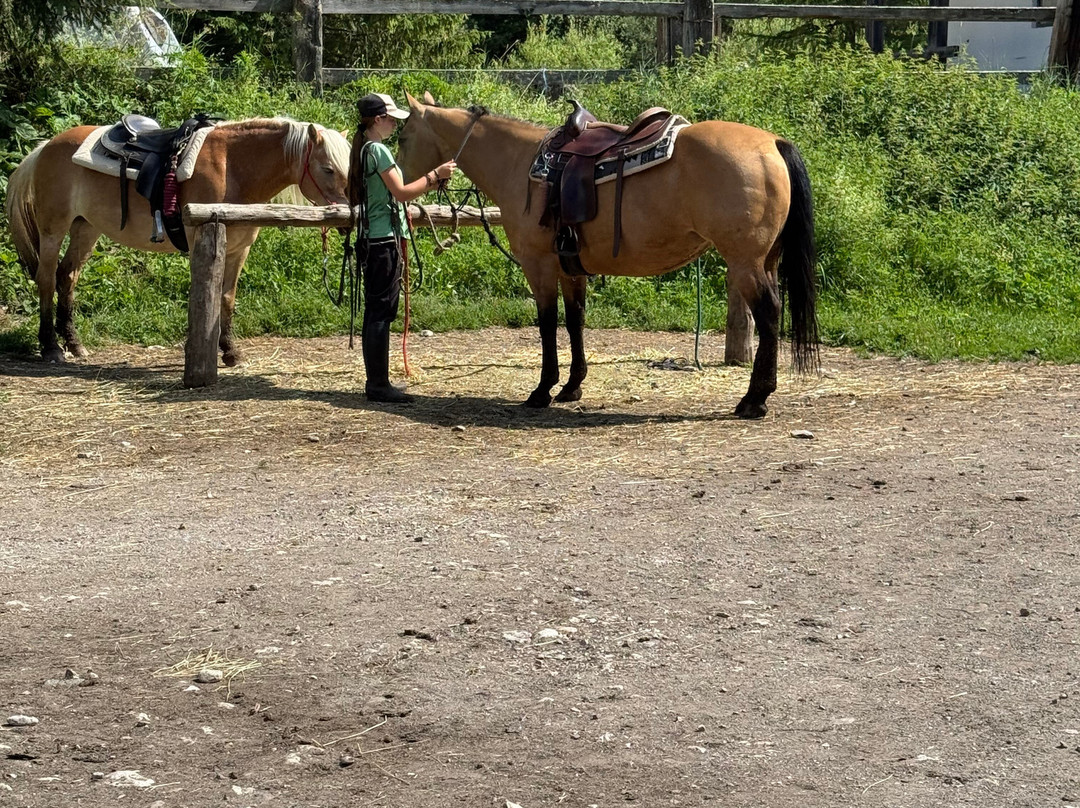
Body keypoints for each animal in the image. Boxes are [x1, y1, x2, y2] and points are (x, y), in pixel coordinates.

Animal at [6, 117, 351, 365]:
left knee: (68, 276)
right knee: (47, 279)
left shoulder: (240, 251)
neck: (234, 169)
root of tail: (44, 148)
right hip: (53, 229)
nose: (350, 216)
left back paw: (74, 344)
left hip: (86, 229)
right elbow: (205, 297)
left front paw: (230, 351)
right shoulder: (205, 239)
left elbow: (227, 298)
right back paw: (51, 347)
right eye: (328, 169)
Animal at [395, 93, 819, 419]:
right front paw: (572, 387)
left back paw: (754, 399)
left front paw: (542, 390)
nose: (396, 178)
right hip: (766, 261)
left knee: (769, 314)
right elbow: (575, 322)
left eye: (403, 137)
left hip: (745, 264)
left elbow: (547, 325)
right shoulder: (571, 268)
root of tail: (773, 143)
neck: (520, 163)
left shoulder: (539, 266)